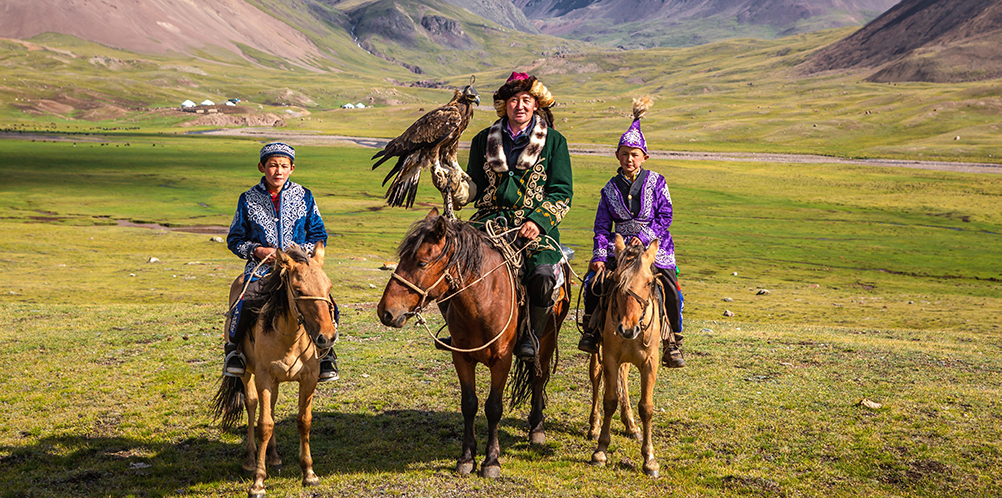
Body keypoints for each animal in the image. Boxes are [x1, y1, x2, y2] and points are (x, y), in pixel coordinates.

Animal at [210, 242, 336, 494]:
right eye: (298, 290)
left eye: (328, 287)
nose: (327, 338)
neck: (290, 339)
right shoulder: (264, 378)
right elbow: (264, 424)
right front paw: (258, 482)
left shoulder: (309, 379)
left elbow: (304, 421)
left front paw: (309, 473)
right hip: (248, 374)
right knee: (252, 405)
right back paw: (250, 459)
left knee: (272, 408)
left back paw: (275, 457)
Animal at [376, 208, 569, 476]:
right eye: (402, 258)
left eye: (422, 262)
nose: (386, 312)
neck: (482, 300)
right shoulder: (461, 357)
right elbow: (469, 404)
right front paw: (467, 458)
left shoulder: (501, 361)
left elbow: (494, 408)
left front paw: (491, 461)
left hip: (548, 339)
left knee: (538, 379)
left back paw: (537, 428)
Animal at [585, 236, 665, 476]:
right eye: (618, 280)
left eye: (648, 283)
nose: (627, 329)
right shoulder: (611, 357)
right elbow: (609, 400)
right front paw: (600, 451)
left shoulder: (650, 363)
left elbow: (646, 408)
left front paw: (650, 460)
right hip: (598, 354)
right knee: (596, 379)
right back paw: (594, 426)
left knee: (624, 381)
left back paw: (630, 425)